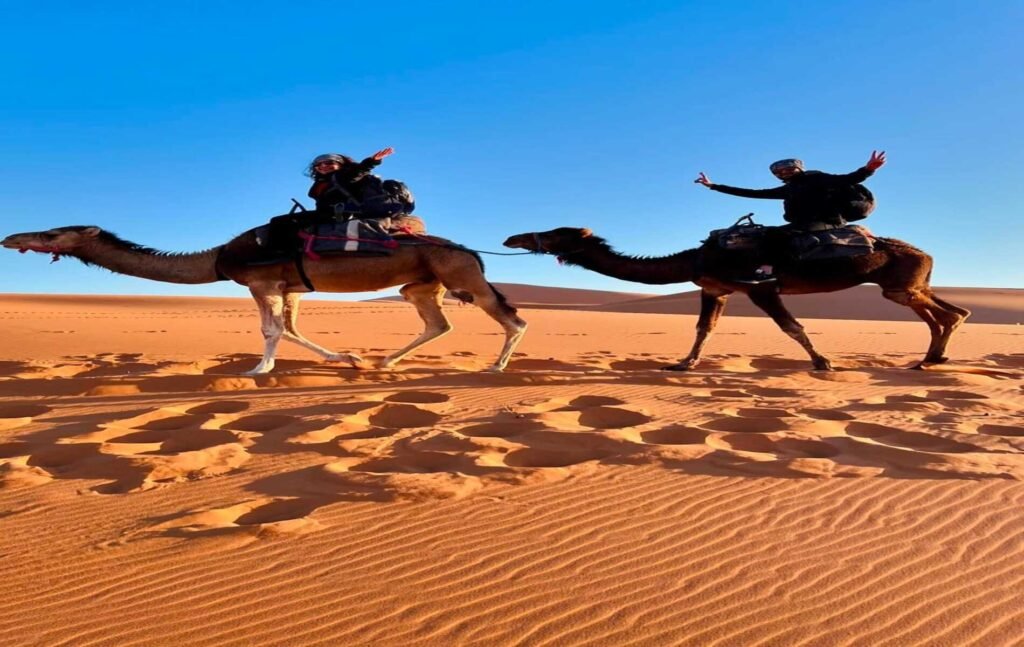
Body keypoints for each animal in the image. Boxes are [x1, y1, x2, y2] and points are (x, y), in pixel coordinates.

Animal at [2, 226, 528, 374]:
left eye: (52, 233)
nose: (12, 238)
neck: (217, 257)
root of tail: (469, 250)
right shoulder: (289, 287)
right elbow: (291, 327)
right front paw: (349, 357)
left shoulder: (262, 283)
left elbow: (271, 329)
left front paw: (259, 371)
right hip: (422, 282)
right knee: (438, 322)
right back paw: (383, 362)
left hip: (458, 273)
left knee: (511, 318)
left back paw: (496, 367)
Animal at [503, 227, 966, 368]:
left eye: (554, 233)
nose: (513, 238)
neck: (694, 257)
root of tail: (925, 253)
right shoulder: (715, 289)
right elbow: (703, 328)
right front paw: (683, 365)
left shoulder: (761, 287)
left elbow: (791, 326)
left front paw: (822, 362)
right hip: (908, 284)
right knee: (952, 311)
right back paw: (932, 358)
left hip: (900, 284)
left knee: (947, 313)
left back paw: (930, 359)